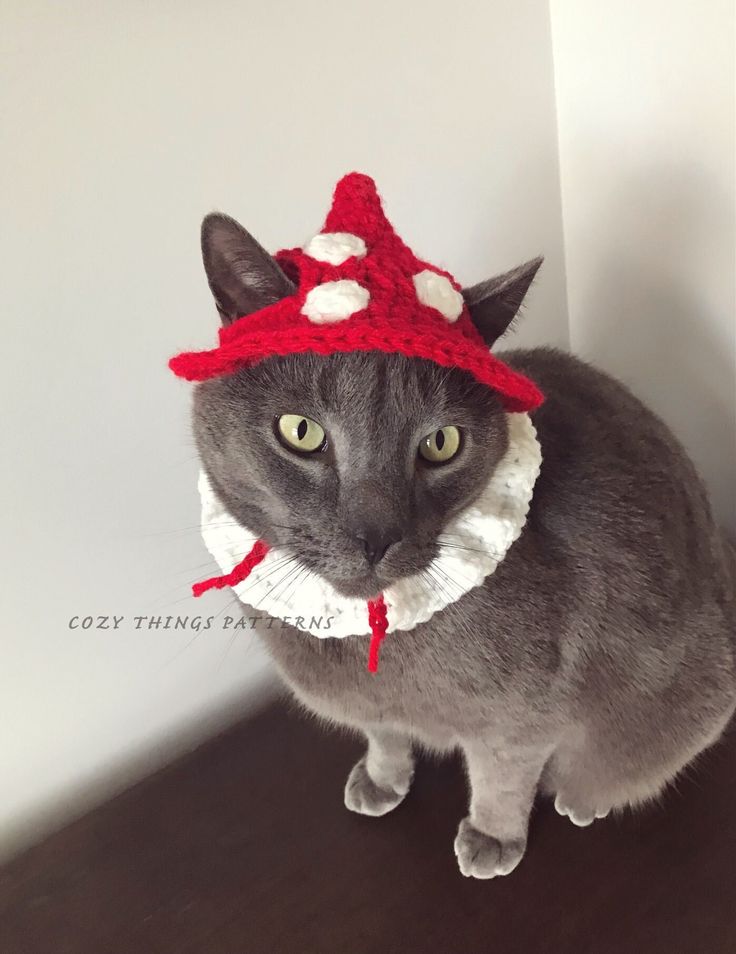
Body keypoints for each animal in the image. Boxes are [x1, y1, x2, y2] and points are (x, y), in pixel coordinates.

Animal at [190, 208, 736, 876]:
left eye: (441, 443)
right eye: (300, 432)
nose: (376, 537)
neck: (371, 643)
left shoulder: (525, 717)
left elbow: (503, 773)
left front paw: (492, 839)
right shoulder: (372, 709)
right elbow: (384, 734)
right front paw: (381, 778)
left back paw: (584, 799)